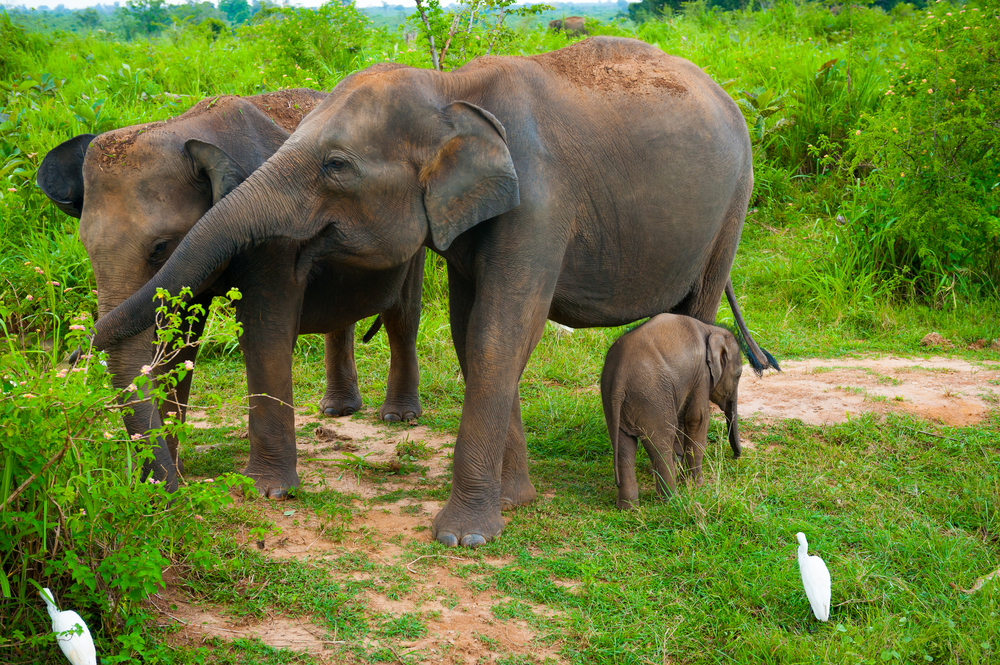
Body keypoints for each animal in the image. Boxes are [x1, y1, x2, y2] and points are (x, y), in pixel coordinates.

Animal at [37, 88, 422, 492]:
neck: (187, 128)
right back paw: (337, 410)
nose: (69, 357)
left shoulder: (276, 234)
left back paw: (398, 416)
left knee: (402, 316)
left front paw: (270, 491)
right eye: (86, 247)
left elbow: (262, 332)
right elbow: (177, 342)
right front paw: (170, 477)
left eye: (159, 247)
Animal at [600, 312, 744, 508]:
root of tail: (619, 378)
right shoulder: (701, 375)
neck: (711, 329)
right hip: (652, 398)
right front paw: (696, 485)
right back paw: (672, 501)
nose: (736, 456)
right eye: (738, 375)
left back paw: (629, 508)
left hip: (613, 401)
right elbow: (697, 419)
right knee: (661, 445)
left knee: (624, 449)